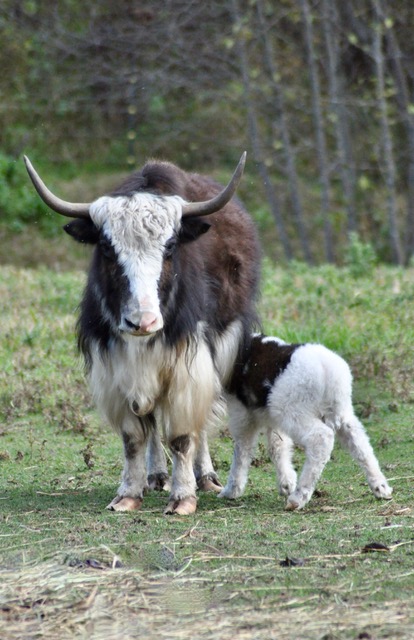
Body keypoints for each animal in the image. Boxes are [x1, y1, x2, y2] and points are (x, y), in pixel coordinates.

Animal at [24, 152, 261, 515]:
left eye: (170, 246)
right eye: (107, 247)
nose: (143, 322)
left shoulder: (188, 363)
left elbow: (182, 434)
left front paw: (182, 498)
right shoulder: (116, 370)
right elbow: (133, 436)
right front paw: (128, 494)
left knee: (201, 421)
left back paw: (205, 477)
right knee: (151, 423)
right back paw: (156, 476)